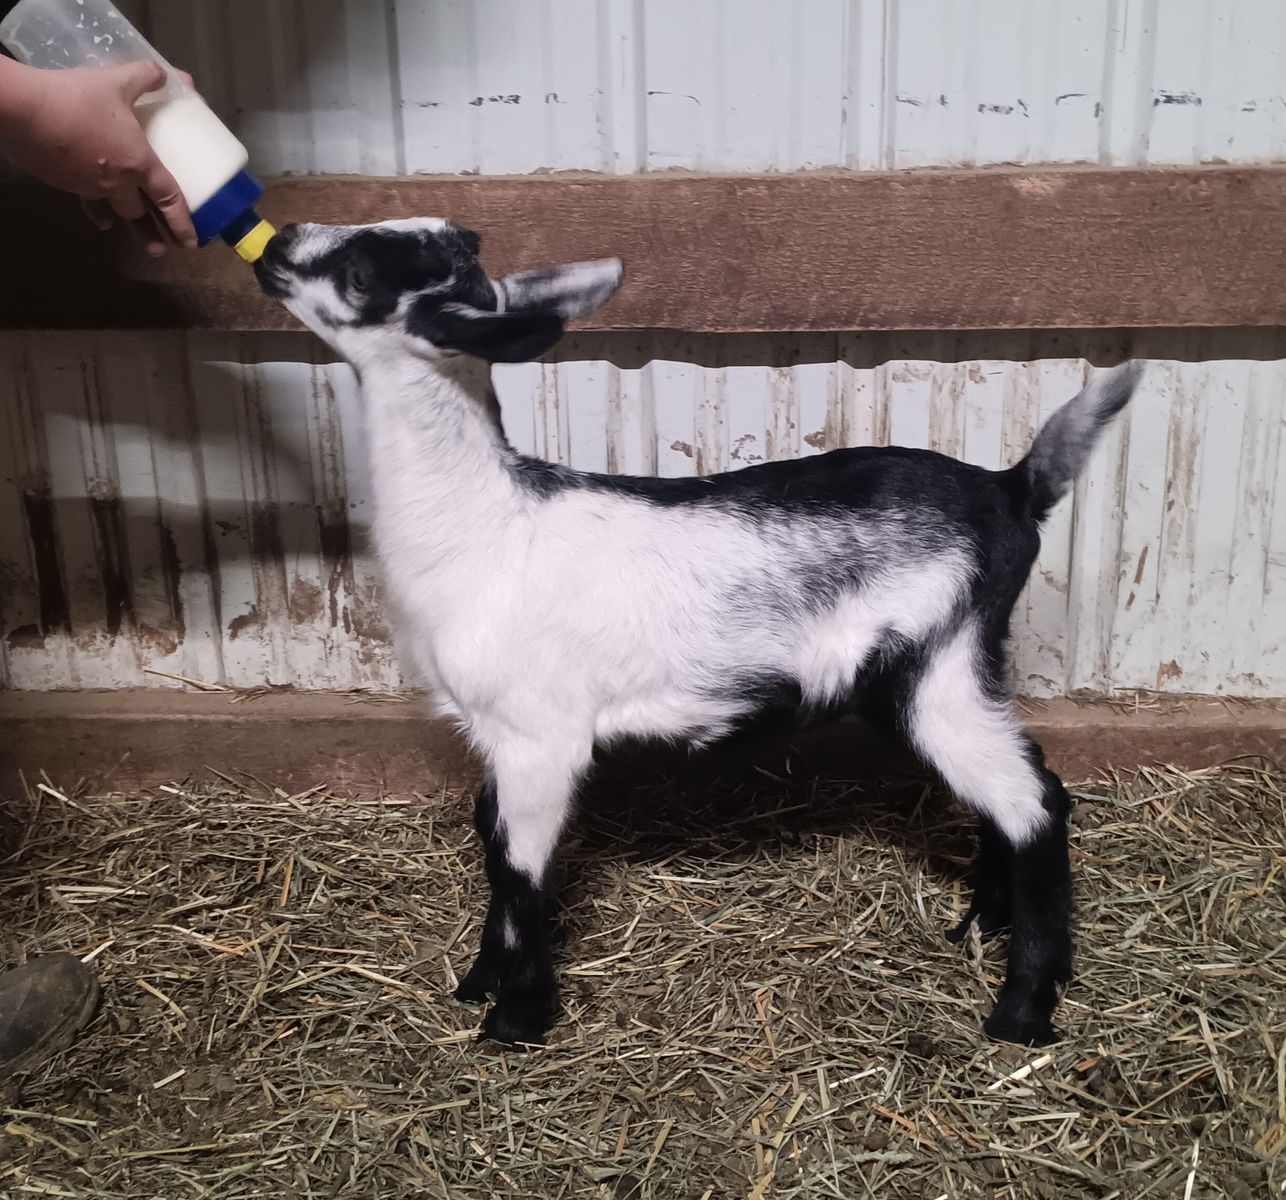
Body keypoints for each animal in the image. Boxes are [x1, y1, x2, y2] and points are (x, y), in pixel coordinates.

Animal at [255, 217, 1142, 1048]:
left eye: (360, 271)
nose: (275, 242)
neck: (487, 523)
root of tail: (1012, 489)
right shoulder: (496, 731)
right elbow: (491, 838)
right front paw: (479, 985)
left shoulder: (540, 734)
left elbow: (518, 863)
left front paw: (516, 1018)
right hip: (959, 668)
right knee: (1021, 786)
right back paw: (983, 923)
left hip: (935, 667)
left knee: (1033, 802)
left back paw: (1022, 1010)